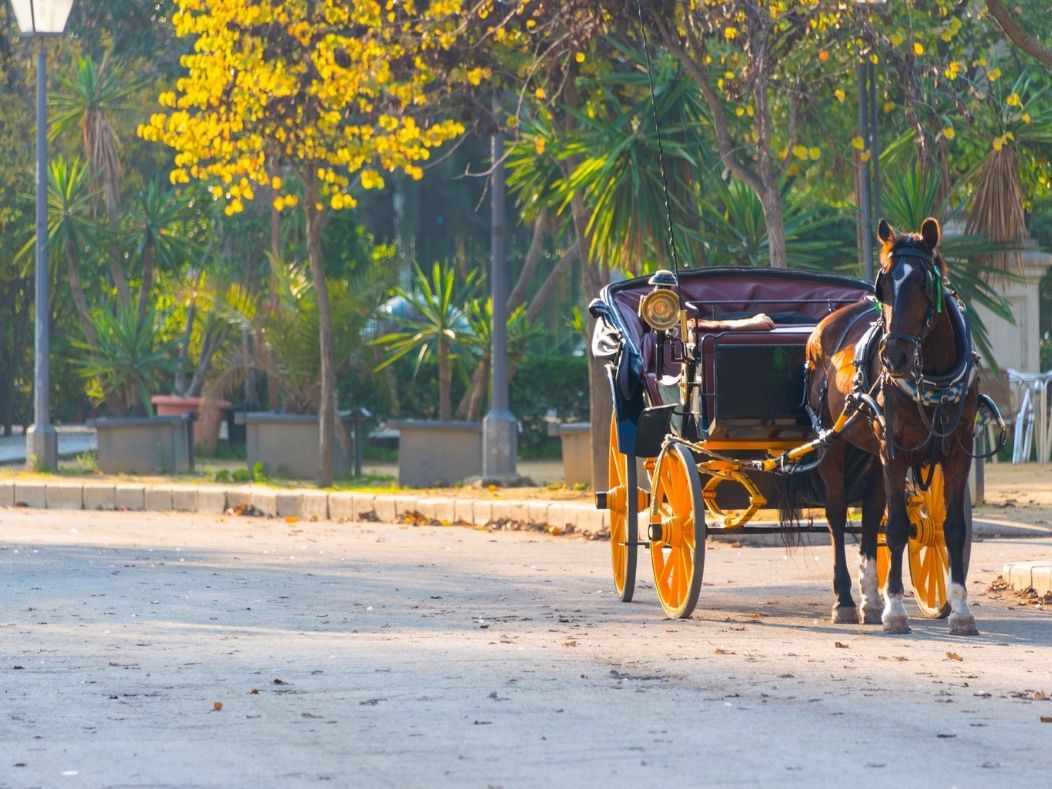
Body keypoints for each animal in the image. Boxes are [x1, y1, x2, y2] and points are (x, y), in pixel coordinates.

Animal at [807, 217, 980, 635]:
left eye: (923, 284)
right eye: (882, 285)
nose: (893, 357)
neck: (933, 377)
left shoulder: (957, 450)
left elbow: (952, 527)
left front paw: (960, 610)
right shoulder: (896, 450)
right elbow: (899, 527)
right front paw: (896, 610)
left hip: (872, 453)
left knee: (871, 516)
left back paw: (870, 600)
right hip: (834, 444)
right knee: (837, 515)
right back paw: (846, 600)